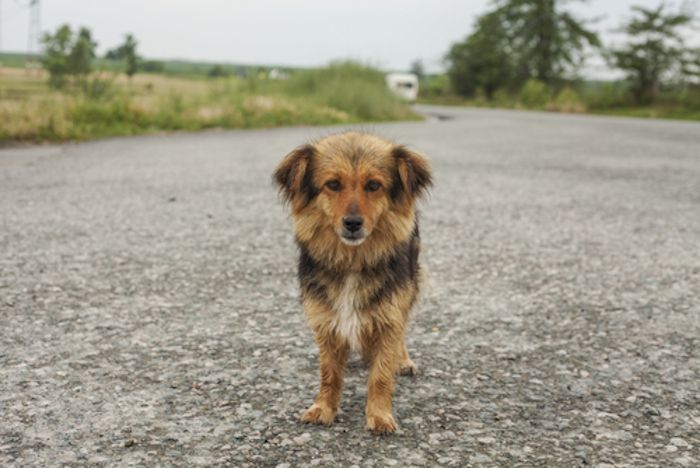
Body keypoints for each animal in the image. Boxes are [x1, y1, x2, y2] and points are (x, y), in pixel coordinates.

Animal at [274, 130, 432, 434]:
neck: (352, 261)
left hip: (411, 283)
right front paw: (324, 407)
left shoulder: (389, 313)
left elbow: (381, 374)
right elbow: (329, 373)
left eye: (374, 185)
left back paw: (404, 360)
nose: (353, 223)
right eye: (333, 184)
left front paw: (380, 415)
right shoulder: (326, 318)